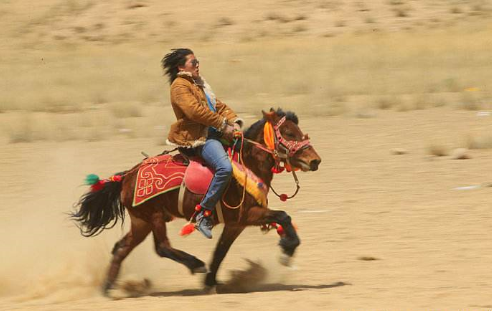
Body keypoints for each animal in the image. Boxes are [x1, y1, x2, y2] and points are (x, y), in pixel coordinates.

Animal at [71, 108, 320, 296]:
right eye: (288, 132)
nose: (315, 160)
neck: (248, 164)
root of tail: (126, 177)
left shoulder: (235, 224)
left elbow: (220, 252)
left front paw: (211, 283)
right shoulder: (247, 215)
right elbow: (284, 217)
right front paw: (287, 251)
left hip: (141, 222)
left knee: (122, 248)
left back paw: (107, 288)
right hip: (154, 217)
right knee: (162, 247)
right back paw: (195, 264)